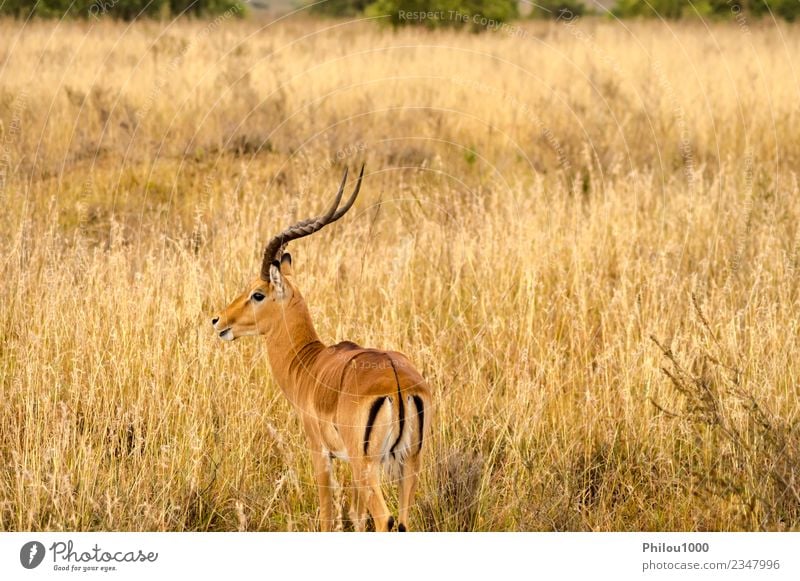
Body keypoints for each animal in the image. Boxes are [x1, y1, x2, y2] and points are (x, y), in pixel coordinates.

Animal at [209, 167, 428, 532]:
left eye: (257, 293)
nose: (218, 320)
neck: (308, 363)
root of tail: (397, 383)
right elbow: (356, 517)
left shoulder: (320, 452)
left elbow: (328, 517)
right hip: (409, 464)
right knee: (403, 521)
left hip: (368, 464)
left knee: (385, 519)